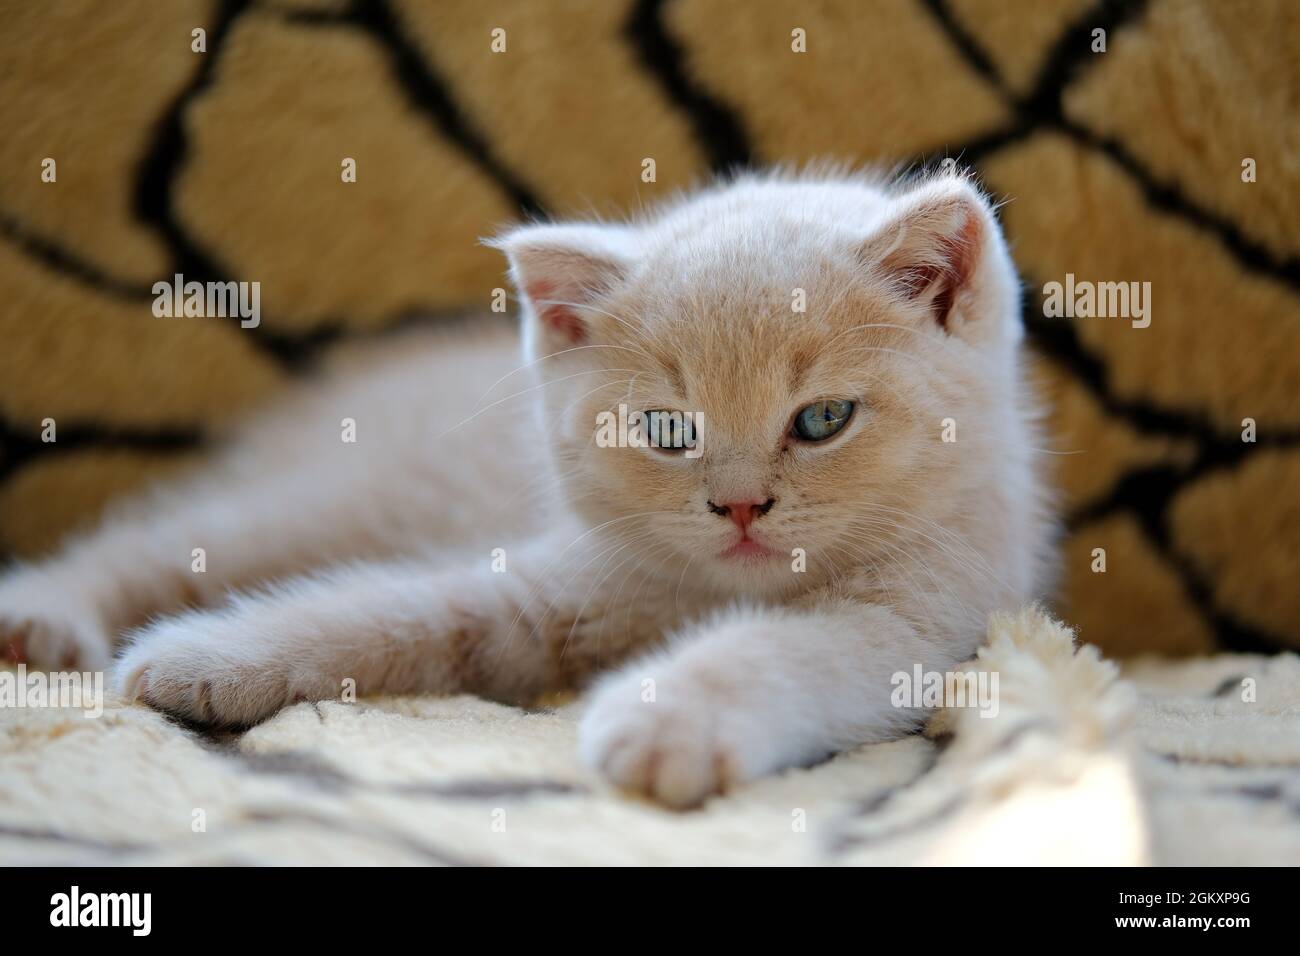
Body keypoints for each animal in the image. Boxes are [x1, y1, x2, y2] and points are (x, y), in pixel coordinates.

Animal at [0, 170, 1055, 806]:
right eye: (668, 430)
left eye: (823, 419)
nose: (741, 505)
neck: (704, 592)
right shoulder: (539, 584)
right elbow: (383, 610)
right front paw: (208, 658)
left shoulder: (920, 622)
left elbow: (790, 649)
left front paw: (667, 720)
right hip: (327, 495)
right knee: (155, 541)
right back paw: (41, 618)